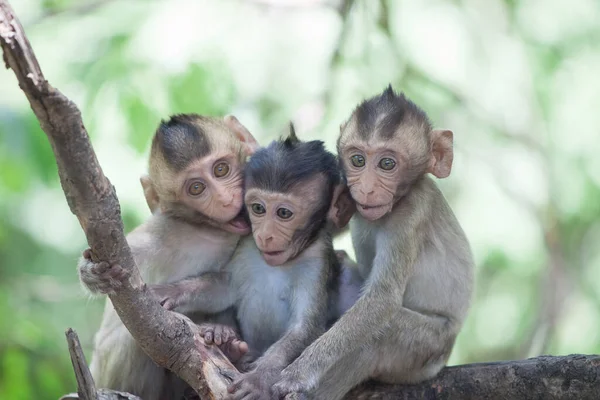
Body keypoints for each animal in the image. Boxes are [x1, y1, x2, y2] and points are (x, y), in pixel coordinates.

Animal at [77, 111, 258, 400]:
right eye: (196, 188)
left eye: (221, 169)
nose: (225, 199)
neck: (210, 232)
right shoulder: (163, 230)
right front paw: (92, 272)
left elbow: (229, 283)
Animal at [270, 86, 474, 398]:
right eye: (358, 160)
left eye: (387, 164)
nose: (366, 189)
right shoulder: (348, 194)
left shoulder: (412, 211)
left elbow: (382, 300)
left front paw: (299, 372)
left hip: (428, 350)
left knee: (380, 336)